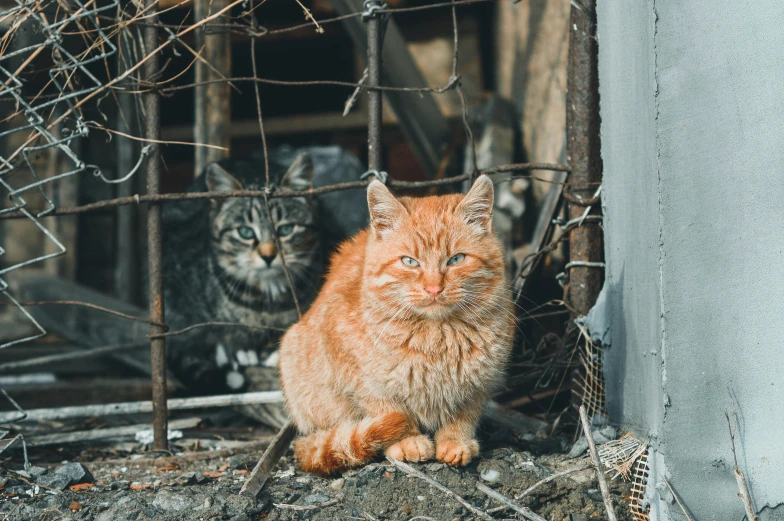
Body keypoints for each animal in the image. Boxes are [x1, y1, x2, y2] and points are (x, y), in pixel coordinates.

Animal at [278, 176, 512, 476]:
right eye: (410, 262)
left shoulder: (480, 383)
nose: (433, 288)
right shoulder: (357, 373)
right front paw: (406, 440)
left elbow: (465, 413)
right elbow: (386, 409)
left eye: (456, 259)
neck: (435, 336)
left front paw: (455, 441)